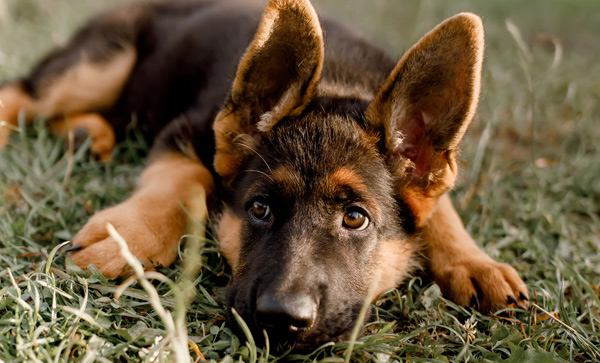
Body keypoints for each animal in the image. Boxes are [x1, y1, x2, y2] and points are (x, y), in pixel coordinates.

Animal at [0, 0, 528, 352]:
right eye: (260, 208)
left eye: (355, 218)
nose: (281, 319)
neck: (339, 80)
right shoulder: (184, 133)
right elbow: (186, 184)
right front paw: (128, 237)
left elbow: (441, 210)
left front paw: (474, 262)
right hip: (99, 66)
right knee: (21, 93)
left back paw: (89, 133)